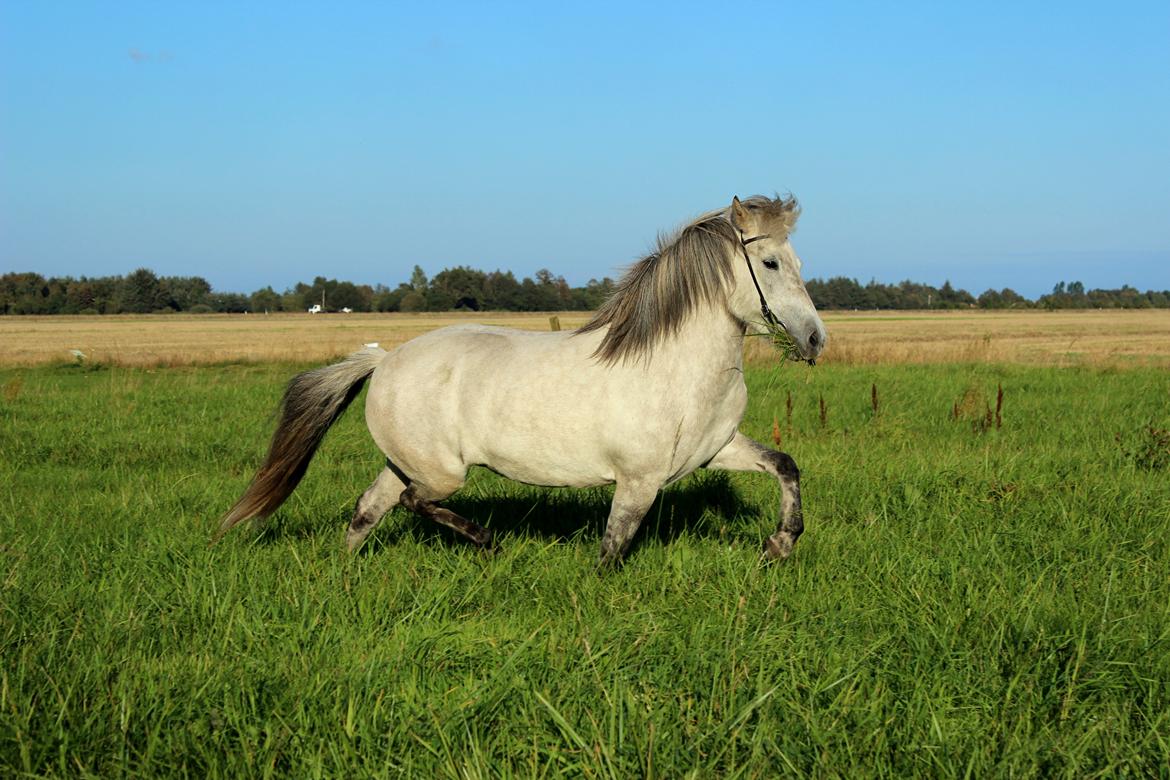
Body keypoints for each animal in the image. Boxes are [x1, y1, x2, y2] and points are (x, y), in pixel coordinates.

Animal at [215, 192, 828, 563]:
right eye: (770, 264)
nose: (816, 339)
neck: (676, 367)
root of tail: (384, 360)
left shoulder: (715, 450)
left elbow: (785, 466)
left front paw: (780, 543)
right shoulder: (638, 481)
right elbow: (612, 549)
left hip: (406, 461)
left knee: (369, 509)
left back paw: (347, 572)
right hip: (443, 473)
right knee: (414, 501)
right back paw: (485, 541)